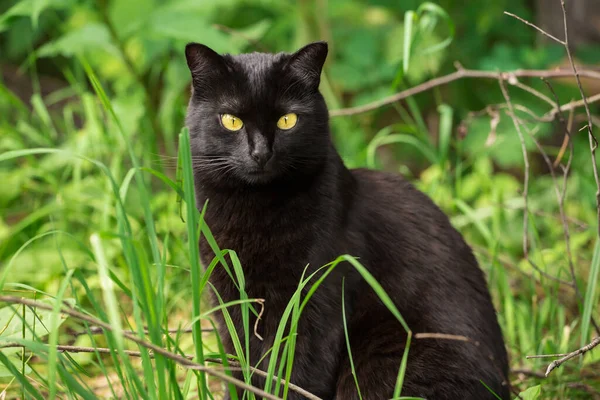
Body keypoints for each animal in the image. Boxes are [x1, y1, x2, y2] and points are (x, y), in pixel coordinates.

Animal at [185, 41, 508, 400]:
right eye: (231, 121)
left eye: (287, 120)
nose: (260, 153)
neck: (255, 213)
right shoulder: (228, 297)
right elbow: (241, 366)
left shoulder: (316, 300)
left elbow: (296, 372)